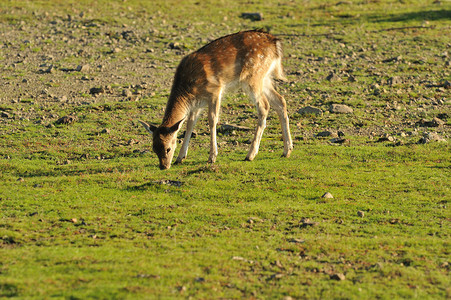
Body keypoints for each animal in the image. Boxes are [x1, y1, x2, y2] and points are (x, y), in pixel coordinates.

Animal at [140, 29, 294, 170]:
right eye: (154, 148)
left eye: (168, 148)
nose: (163, 166)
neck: (188, 90)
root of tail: (276, 43)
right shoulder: (197, 103)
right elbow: (190, 124)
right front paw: (180, 158)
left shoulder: (214, 90)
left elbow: (212, 120)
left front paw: (212, 157)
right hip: (265, 78)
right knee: (281, 101)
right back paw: (287, 150)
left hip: (253, 76)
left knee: (264, 106)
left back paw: (250, 154)